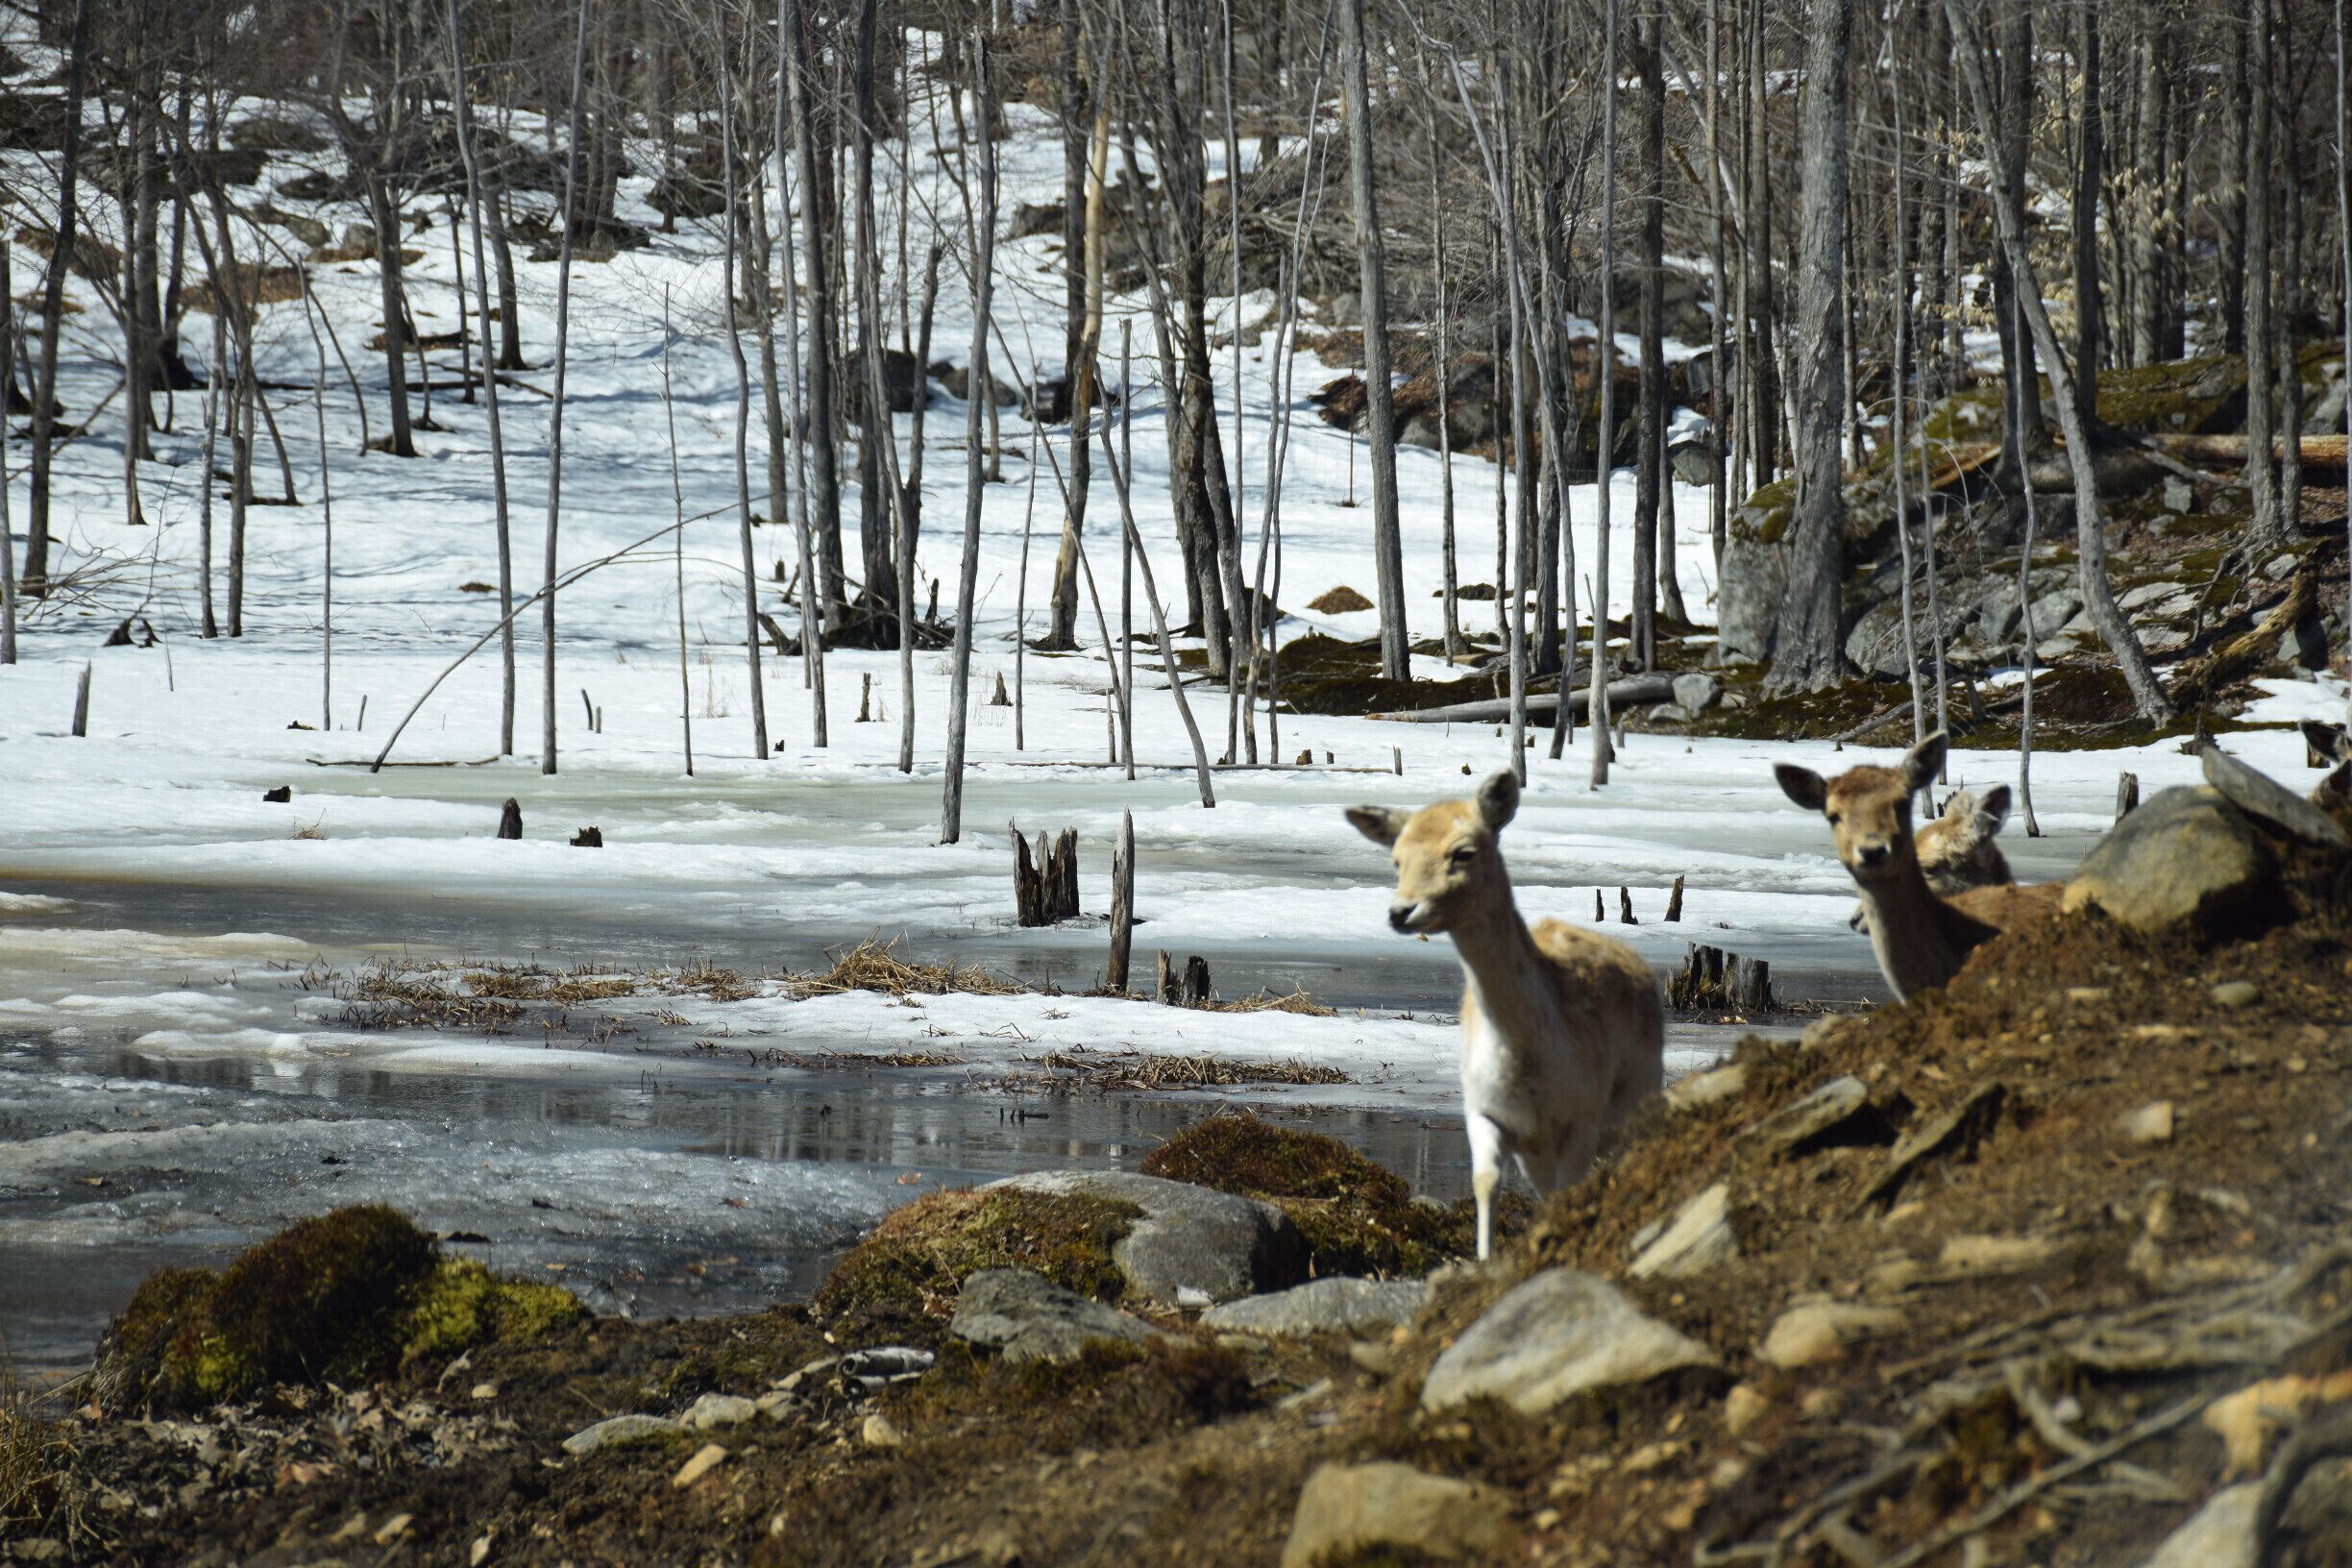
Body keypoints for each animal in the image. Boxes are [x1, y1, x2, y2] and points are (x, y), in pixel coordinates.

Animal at [1347, 770, 1664, 1262]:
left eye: (1463, 851)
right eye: (1396, 858)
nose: (1402, 912)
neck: (1526, 1065)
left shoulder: (1582, 1119)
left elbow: (1572, 1191)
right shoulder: (1484, 1110)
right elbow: (1485, 1183)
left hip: (1638, 1106)